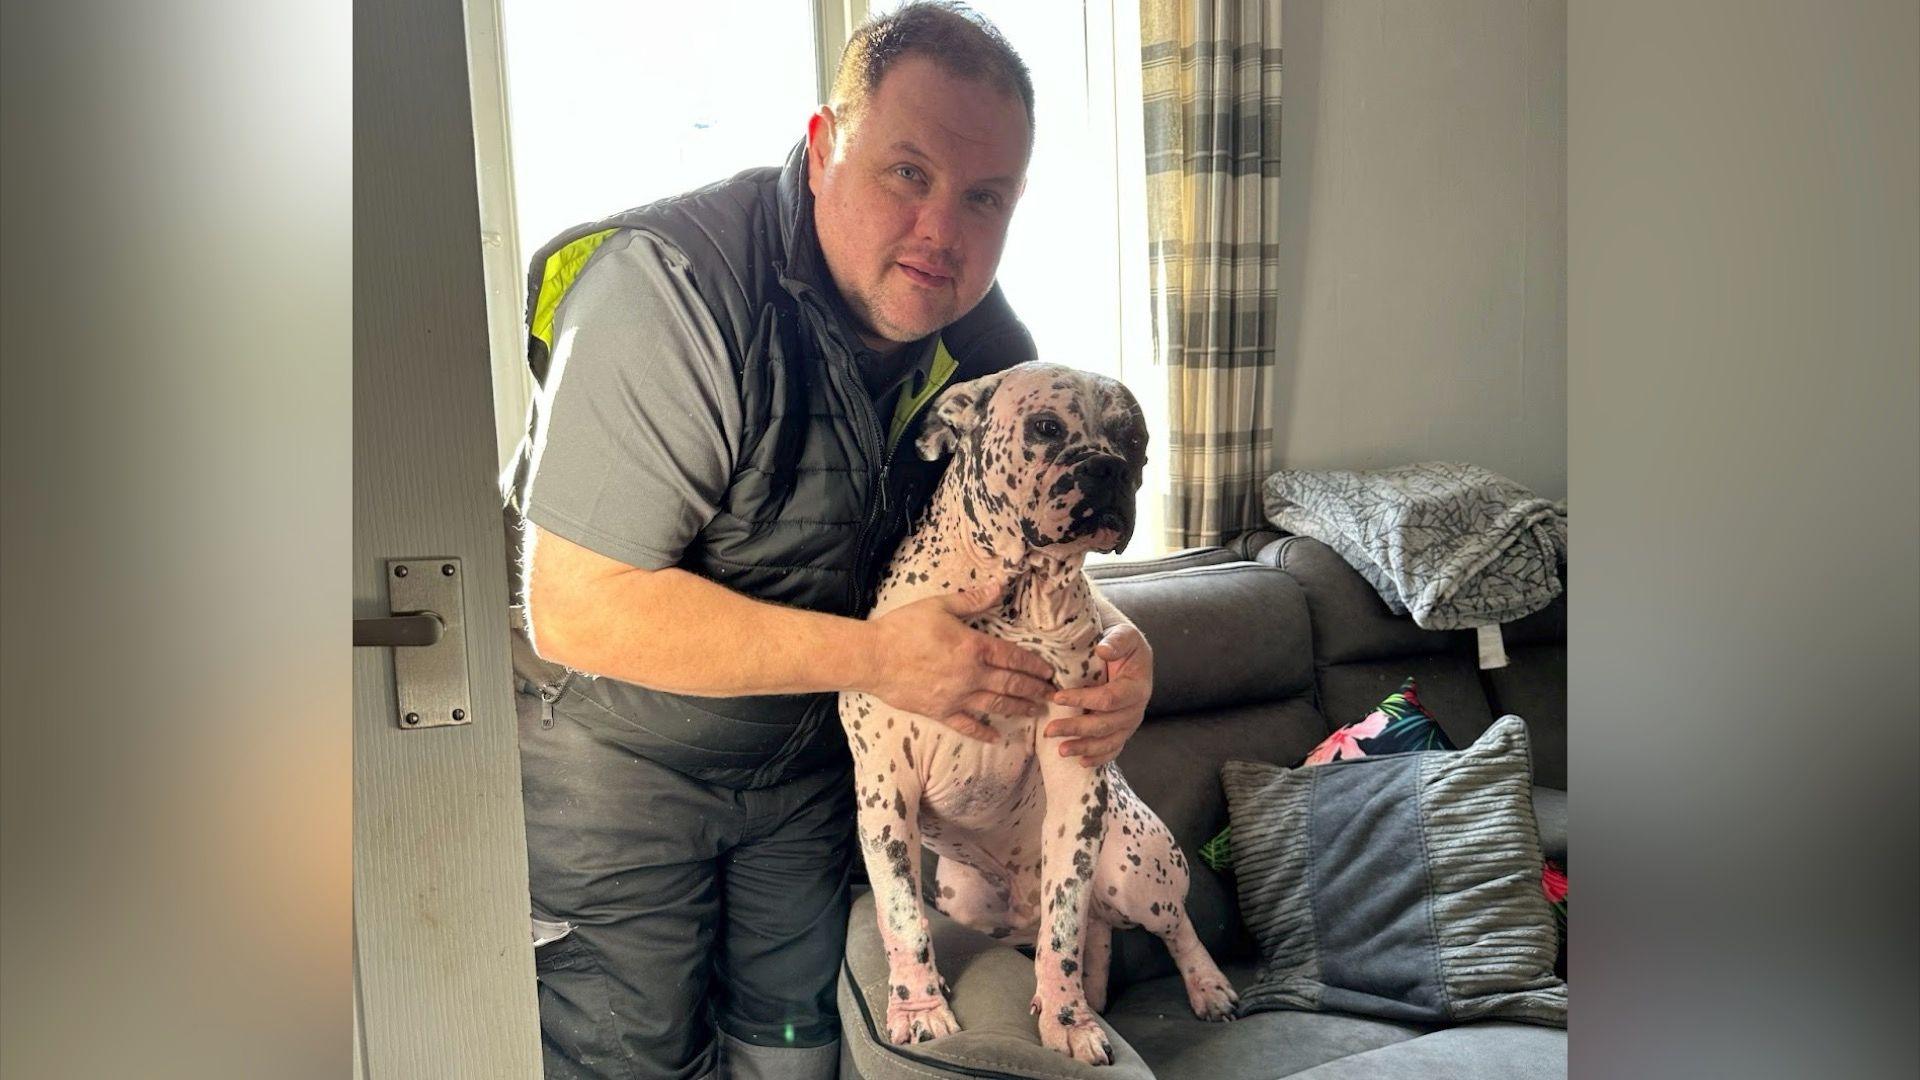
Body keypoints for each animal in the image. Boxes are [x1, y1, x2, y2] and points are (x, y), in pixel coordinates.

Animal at [844, 359, 1236, 1060]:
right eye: (1046, 427)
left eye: (1134, 438)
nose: (1107, 467)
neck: (1018, 600)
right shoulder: (887, 791)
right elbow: (901, 918)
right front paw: (921, 1009)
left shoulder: (1075, 784)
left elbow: (1063, 932)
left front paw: (1068, 1021)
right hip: (967, 896)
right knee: (1095, 929)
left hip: (1135, 867)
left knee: (1165, 924)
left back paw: (1206, 988)